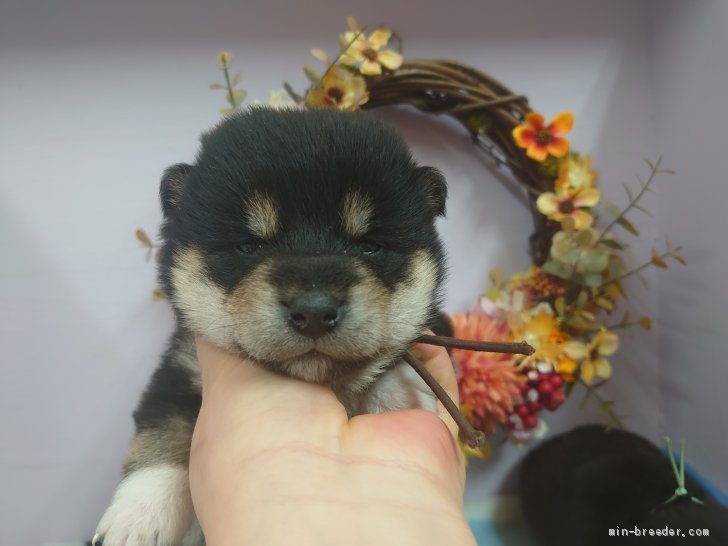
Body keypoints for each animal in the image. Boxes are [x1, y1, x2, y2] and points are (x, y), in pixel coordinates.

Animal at [93, 107, 450, 544]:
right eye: (249, 245)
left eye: (370, 245)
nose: (314, 311)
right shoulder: (180, 367)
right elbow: (164, 431)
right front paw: (137, 515)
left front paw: (398, 385)